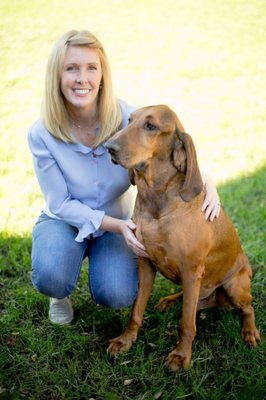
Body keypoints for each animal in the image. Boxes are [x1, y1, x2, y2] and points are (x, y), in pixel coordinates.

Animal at [104, 104, 260, 370]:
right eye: (129, 120)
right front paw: (125, 340)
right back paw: (169, 300)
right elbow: (136, 311)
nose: (109, 147)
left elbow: (186, 322)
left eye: (151, 126)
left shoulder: (191, 269)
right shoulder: (145, 263)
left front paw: (181, 355)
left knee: (247, 308)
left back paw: (249, 332)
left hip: (234, 285)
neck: (156, 198)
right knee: (194, 301)